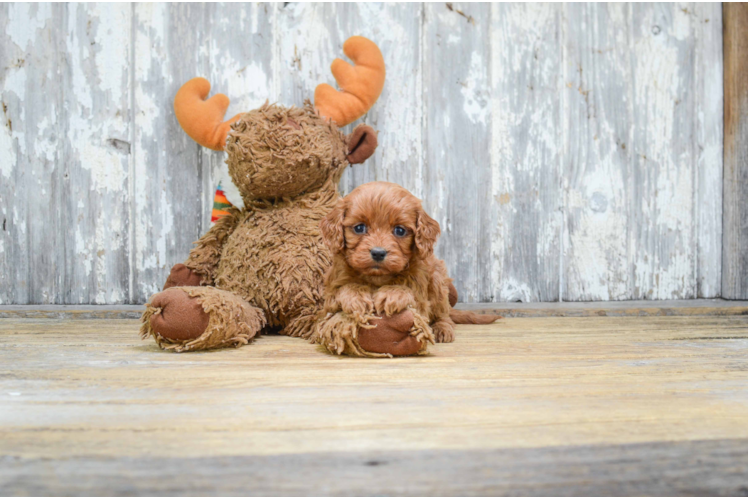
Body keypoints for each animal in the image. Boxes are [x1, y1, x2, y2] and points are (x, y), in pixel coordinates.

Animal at [312, 180, 500, 356]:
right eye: (359, 228)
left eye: (400, 231)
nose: (378, 253)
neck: (377, 277)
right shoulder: (330, 294)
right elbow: (340, 293)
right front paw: (356, 296)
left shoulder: (420, 293)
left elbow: (411, 298)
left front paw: (392, 294)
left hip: (437, 279)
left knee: (443, 313)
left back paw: (442, 329)